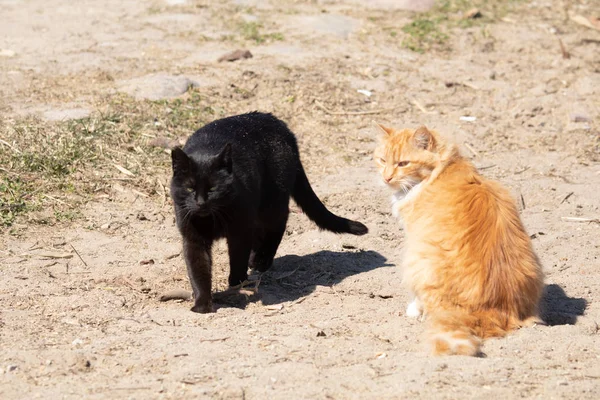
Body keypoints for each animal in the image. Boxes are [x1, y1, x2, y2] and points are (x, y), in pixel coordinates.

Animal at [169, 111, 366, 312]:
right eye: (190, 188)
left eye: (213, 189)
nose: (200, 203)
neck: (211, 219)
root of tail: (279, 124)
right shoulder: (194, 239)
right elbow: (198, 271)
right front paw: (202, 304)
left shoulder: (240, 231)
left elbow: (237, 259)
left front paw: (237, 285)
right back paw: (256, 259)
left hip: (271, 202)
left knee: (279, 223)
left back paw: (261, 261)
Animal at [372, 123, 548, 354]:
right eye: (382, 160)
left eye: (403, 163)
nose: (387, 178)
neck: (442, 169)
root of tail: (493, 310)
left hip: (418, 258)